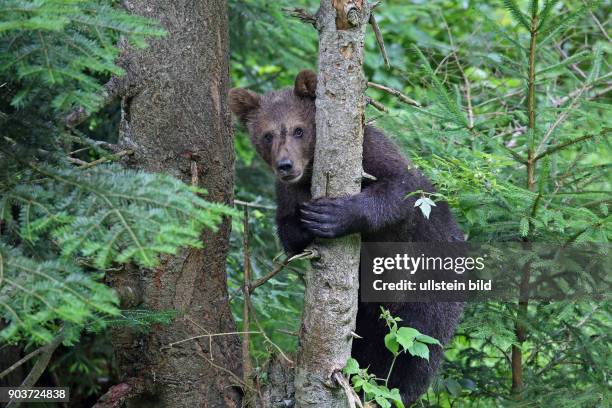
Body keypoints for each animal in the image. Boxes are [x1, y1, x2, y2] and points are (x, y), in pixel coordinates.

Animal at [230, 70, 464, 404]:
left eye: (299, 129)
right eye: (267, 135)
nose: (285, 165)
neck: (310, 173)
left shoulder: (373, 154)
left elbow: (403, 188)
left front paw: (335, 215)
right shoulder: (287, 193)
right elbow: (288, 232)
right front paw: (305, 223)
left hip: (427, 288)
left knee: (415, 351)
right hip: (366, 309)